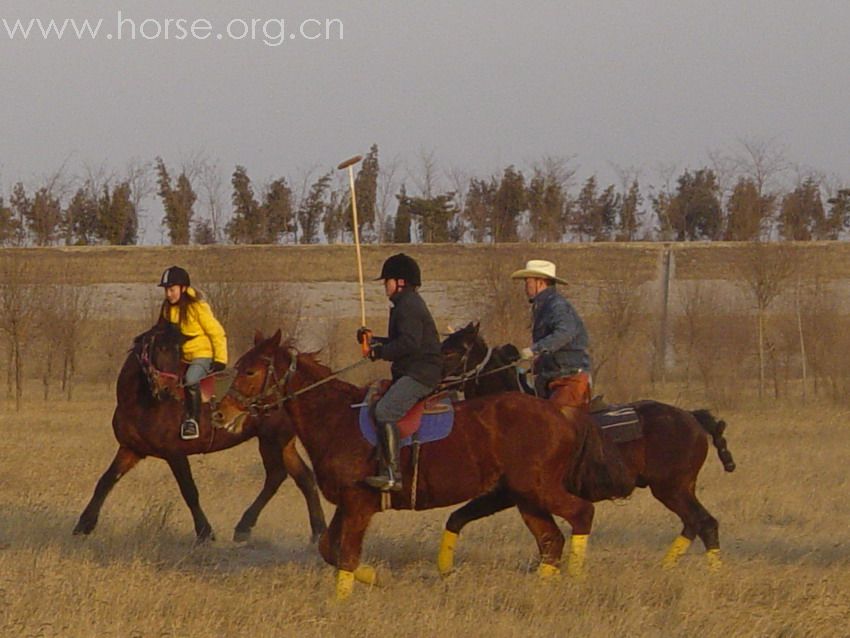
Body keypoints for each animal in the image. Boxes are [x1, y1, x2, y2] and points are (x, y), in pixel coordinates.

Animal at [73, 324, 324, 544]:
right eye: (160, 348)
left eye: (178, 350)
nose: (169, 389)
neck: (143, 403)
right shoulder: (130, 450)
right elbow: (105, 481)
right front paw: (83, 525)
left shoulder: (174, 453)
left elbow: (189, 491)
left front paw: (205, 533)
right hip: (281, 443)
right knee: (302, 478)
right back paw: (317, 532)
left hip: (273, 440)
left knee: (277, 476)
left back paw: (246, 527)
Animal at [211, 332, 616, 604]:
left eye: (251, 371)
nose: (219, 413)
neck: (336, 416)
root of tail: (562, 414)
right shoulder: (349, 504)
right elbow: (329, 548)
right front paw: (374, 578)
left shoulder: (358, 504)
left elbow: (346, 554)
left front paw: (342, 600)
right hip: (526, 497)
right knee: (550, 540)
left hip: (538, 489)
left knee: (581, 514)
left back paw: (575, 576)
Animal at [440, 324, 732, 576]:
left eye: (452, 351)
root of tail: (691, 417)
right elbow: (459, 518)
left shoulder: (504, 494)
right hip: (680, 489)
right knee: (694, 524)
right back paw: (666, 567)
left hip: (671, 489)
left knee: (705, 524)